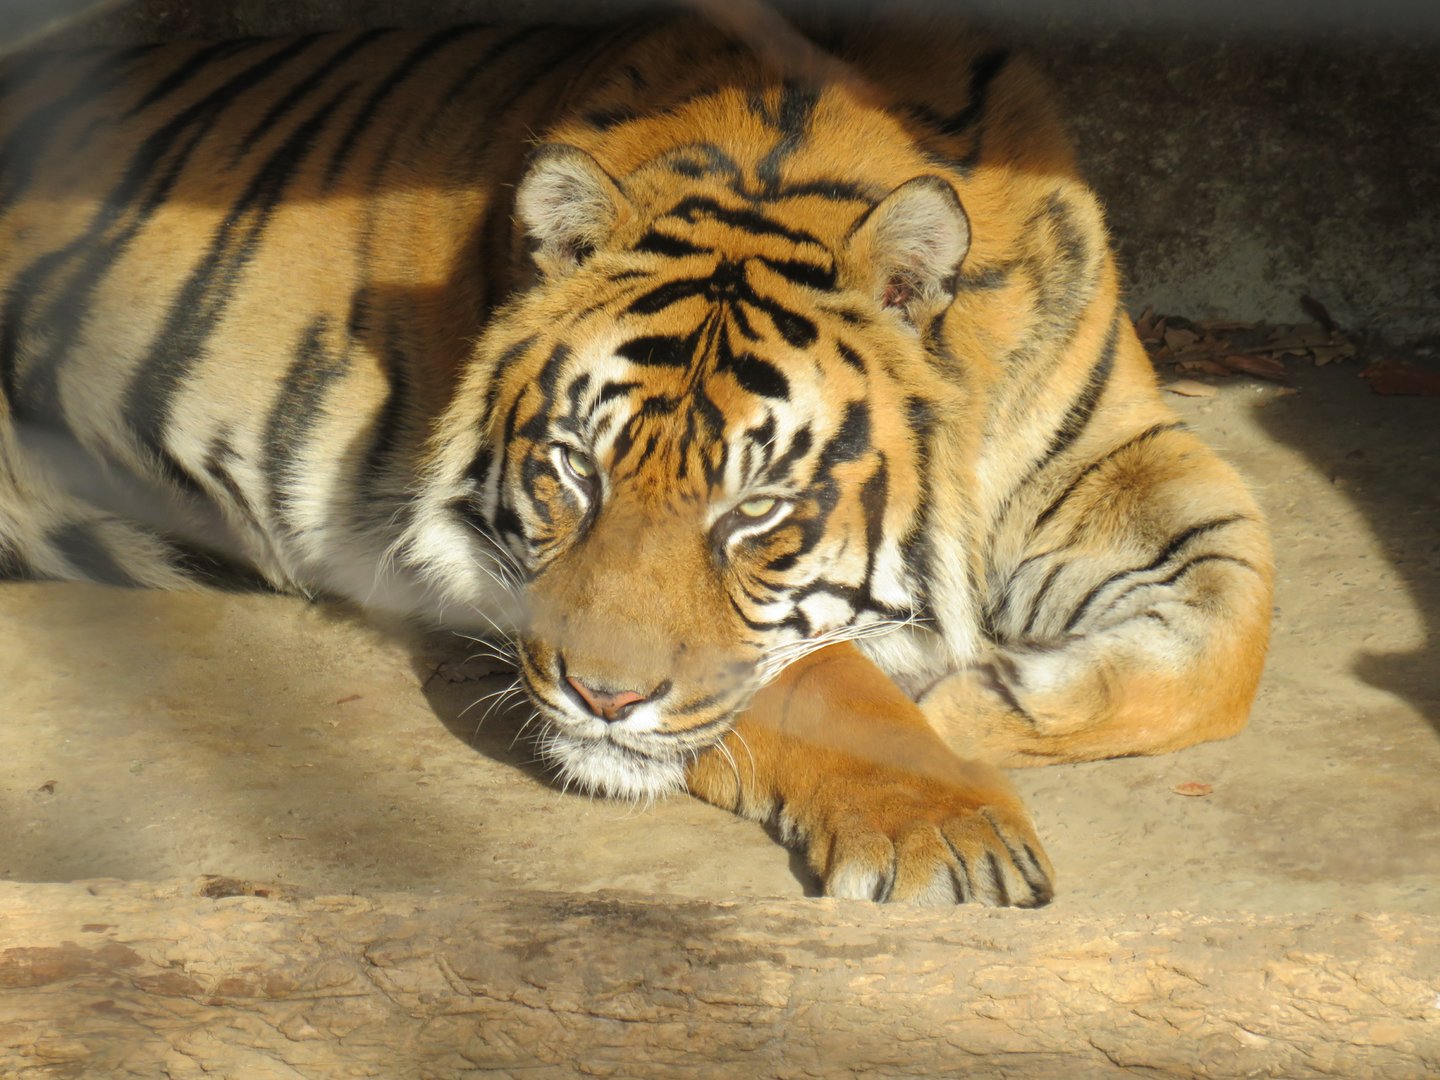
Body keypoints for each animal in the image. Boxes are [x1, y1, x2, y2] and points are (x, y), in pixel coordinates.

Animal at [0, 6, 1273, 908]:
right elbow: (811, 675)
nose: (600, 697)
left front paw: (987, 695)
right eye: (575, 470)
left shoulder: (1115, 447)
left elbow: (1234, 625)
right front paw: (949, 821)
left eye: (755, 514)